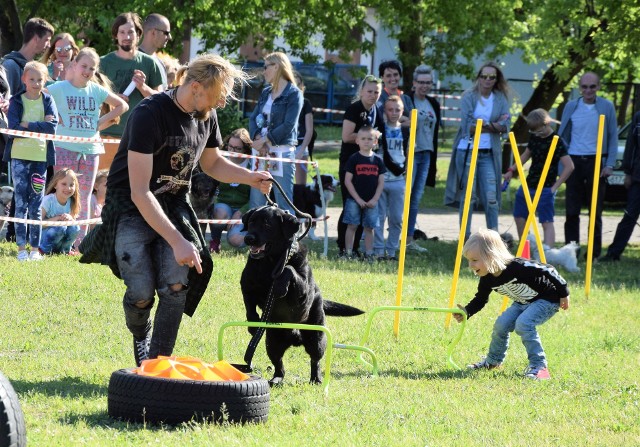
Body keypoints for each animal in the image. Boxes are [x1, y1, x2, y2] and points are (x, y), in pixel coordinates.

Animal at [240, 206, 362, 384]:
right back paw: (276, 379)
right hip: (272, 342)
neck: (270, 262)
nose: (248, 238)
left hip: (317, 338)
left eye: (267, 225)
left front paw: (280, 285)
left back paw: (316, 379)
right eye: (251, 222)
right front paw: (253, 324)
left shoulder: (303, 292)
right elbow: (249, 306)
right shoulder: (247, 286)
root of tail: (295, 337)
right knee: (279, 365)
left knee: (315, 360)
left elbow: (289, 269)